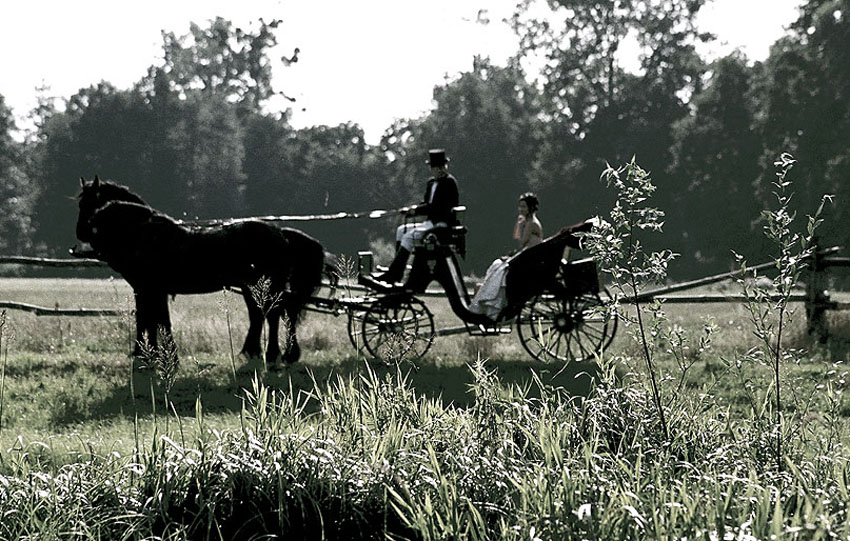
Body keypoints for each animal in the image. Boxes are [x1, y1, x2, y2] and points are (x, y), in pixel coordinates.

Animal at [76, 175, 324, 364]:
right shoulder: (147, 289)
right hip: (251, 286)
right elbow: (150, 318)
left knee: (274, 314)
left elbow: (156, 319)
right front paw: (149, 354)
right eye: (80, 203)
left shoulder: (153, 289)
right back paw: (253, 352)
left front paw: (160, 355)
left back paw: (273, 354)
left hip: (267, 285)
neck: (146, 234)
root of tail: (281, 233)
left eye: (91, 201)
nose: (81, 232)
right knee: (261, 315)